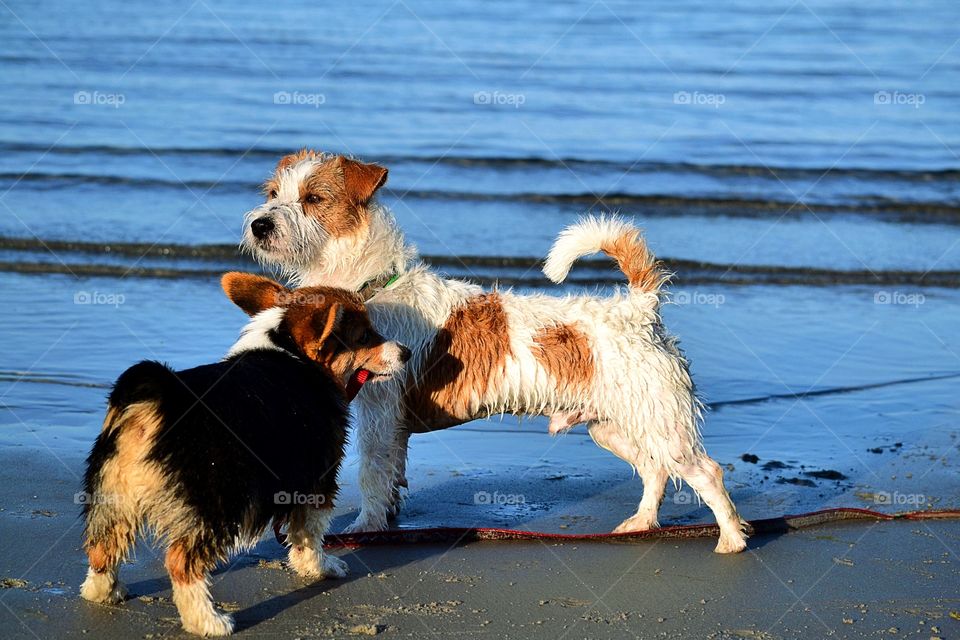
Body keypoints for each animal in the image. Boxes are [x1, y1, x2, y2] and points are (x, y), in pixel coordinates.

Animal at [81, 274, 408, 636]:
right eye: (365, 336)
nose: (406, 352)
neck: (291, 351)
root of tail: (155, 402)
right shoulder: (318, 480)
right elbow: (309, 535)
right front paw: (320, 568)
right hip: (215, 505)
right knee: (181, 563)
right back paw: (208, 621)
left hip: (114, 496)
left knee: (102, 548)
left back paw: (103, 591)